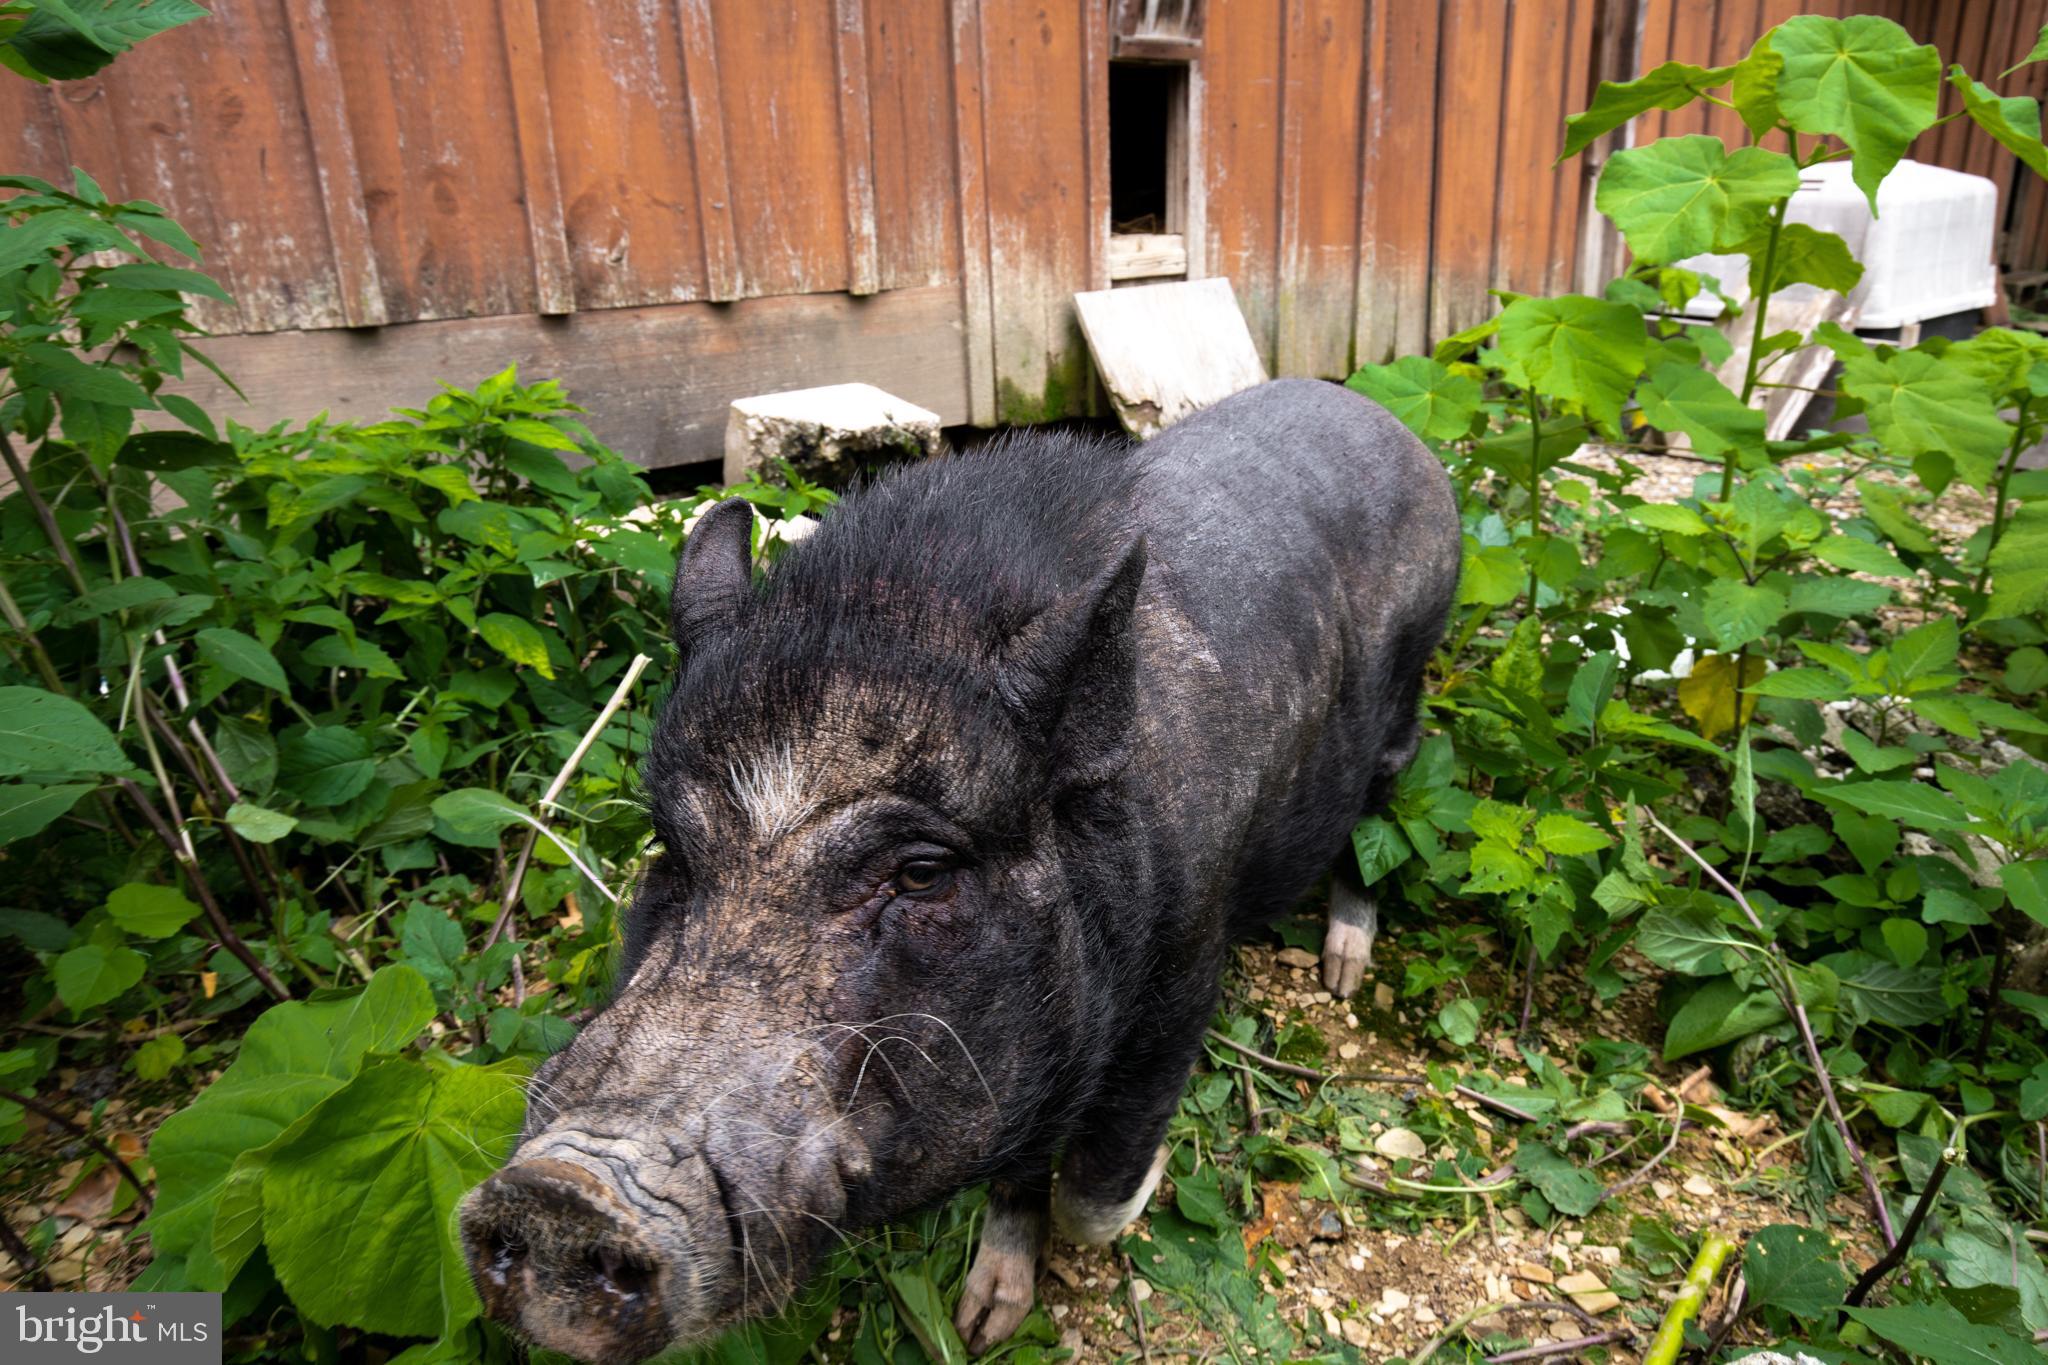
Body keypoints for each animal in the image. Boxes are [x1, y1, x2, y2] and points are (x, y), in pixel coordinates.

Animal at [458, 378, 1461, 1363]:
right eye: (673, 848)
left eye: (921, 872)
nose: (560, 1189)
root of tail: (1388, 423)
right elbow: (1018, 1173)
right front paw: (984, 1323)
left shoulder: (1185, 977)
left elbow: (1091, 1198)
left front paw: (1135, 1193)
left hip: (1409, 699)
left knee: (1381, 814)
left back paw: (1343, 970)